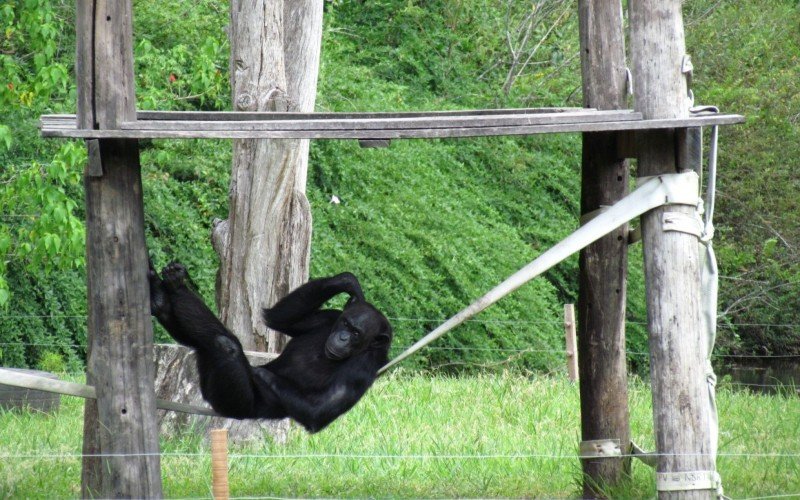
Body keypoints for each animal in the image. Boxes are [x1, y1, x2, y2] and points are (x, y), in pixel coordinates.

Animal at [150, 262, 394, 434]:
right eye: (345, 324)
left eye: (356, 333)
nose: (342, 337)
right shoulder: (328, 318)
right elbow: (277, 319)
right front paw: (347, 282)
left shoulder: (362, 369)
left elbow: (318, 412)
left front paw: (259, 372)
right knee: (203, 341)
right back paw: (164, 294)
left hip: (233, 403)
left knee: (224, 344)